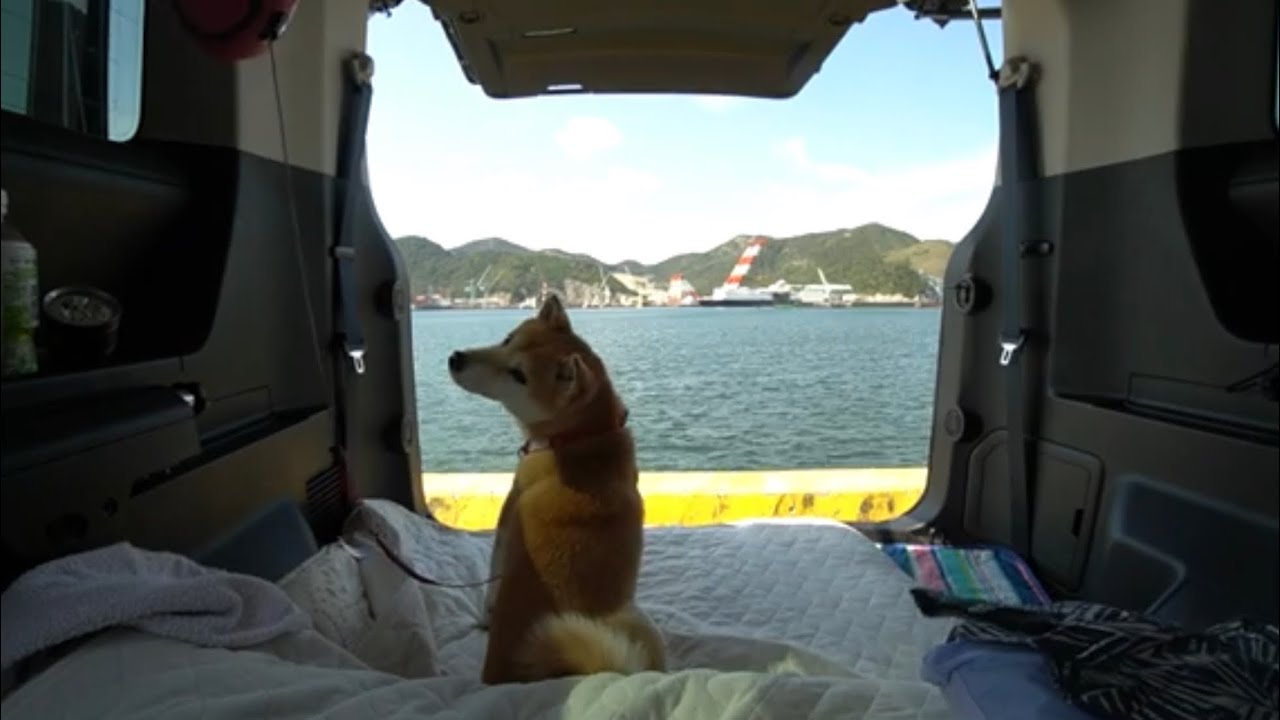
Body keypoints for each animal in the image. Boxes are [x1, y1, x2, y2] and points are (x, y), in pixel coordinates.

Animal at [445, 294, 665, 681]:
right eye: (508, 339)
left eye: (518, 375)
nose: (456, 358)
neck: (579, 437)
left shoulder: (509, 512)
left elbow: (491, 581)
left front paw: (485, 617)